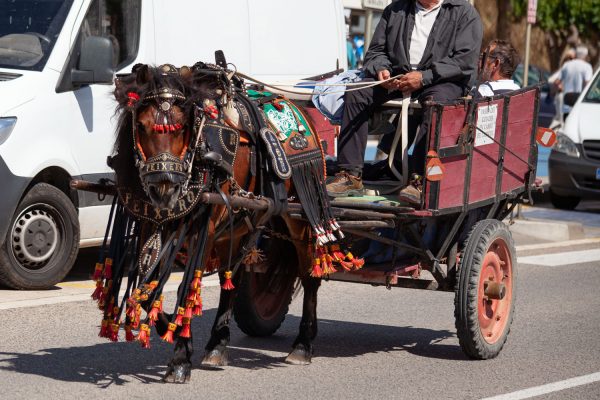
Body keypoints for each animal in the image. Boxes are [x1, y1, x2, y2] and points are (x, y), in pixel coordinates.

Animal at [91, 61, 358, 382]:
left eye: (183, 127)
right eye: (140, 125)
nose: (164, 187)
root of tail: (297, 108)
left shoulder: (203, 228)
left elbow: (185, 288)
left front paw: (180, 357)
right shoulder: (149, 223)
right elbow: (147, 290)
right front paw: (175, 332)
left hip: (301, 212)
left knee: (309, 274)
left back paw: (303, 345)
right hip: (241, 220)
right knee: (232, 275)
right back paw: (218, 345)